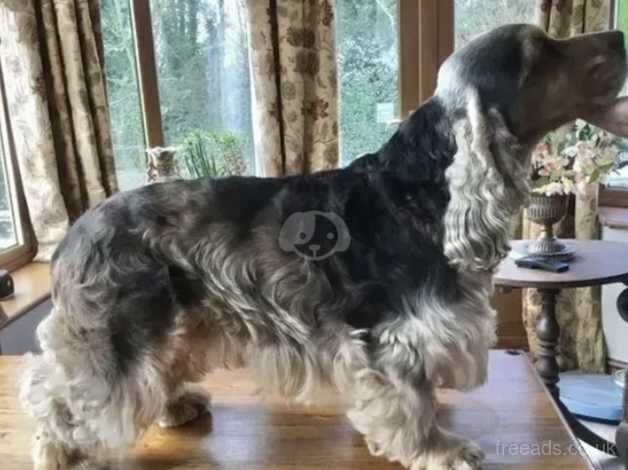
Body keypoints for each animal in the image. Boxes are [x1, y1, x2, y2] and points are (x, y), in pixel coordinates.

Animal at [20, 24, 628, 470]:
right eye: (540, 51)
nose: (619, 34)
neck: (422, 188)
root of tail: (73, 234)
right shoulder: (390, 336)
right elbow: (412, 401)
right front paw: (438, 449)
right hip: (114, 330)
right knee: (60, 391)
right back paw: (58, 451)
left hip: (174, 320)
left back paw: (175, 405)